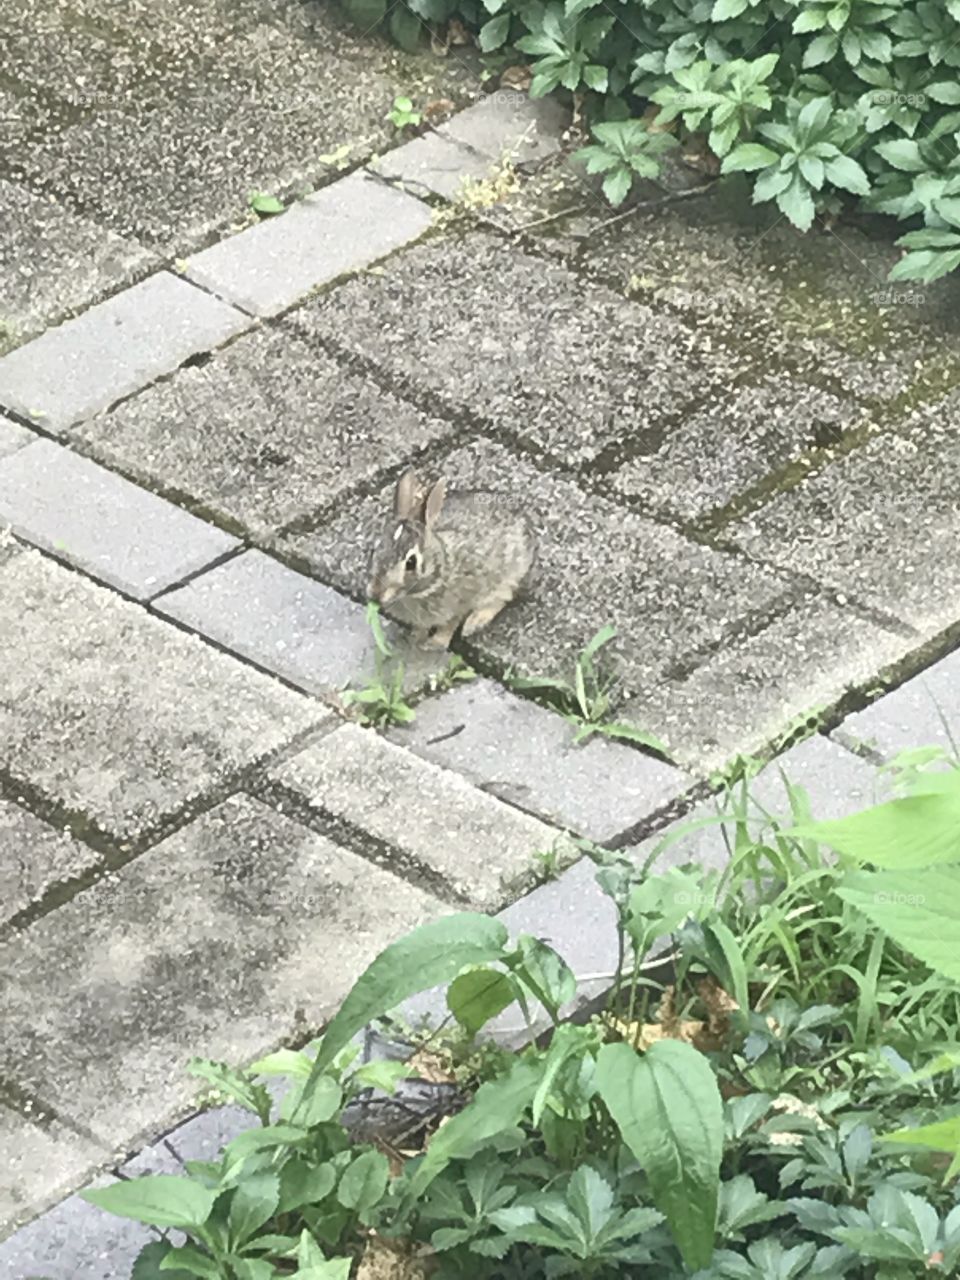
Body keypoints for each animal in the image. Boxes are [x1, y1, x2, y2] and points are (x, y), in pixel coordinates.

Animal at [367, 467, 536, 649]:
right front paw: (414, 639)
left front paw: (434, 644)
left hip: (510, 575)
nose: (375, 594)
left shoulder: (460, 603)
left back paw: (474, 623)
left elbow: (449, 625)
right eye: (375, 549)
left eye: (411, 563)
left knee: (502, 598)